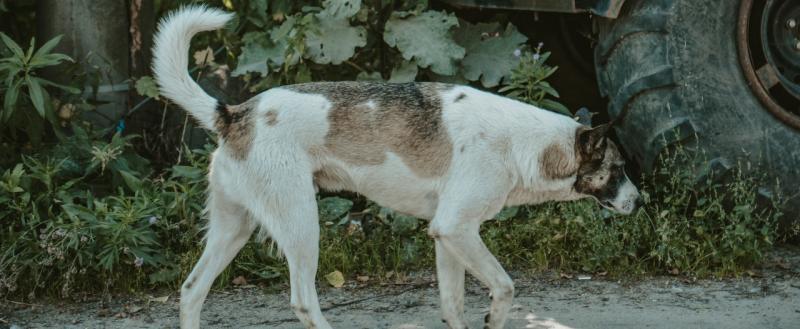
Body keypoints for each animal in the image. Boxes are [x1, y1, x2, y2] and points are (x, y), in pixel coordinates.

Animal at [153, 5, 644, 328]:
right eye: (618, 169)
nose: (641, 203)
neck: (522, 142)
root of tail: (236, 113)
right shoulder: (457, 229)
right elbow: (504, 287)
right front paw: (495, 316)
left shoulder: (448, 237)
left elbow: (453, 306)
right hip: (301, 223)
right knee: (303, 302)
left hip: (234, 228)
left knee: (191, 290)